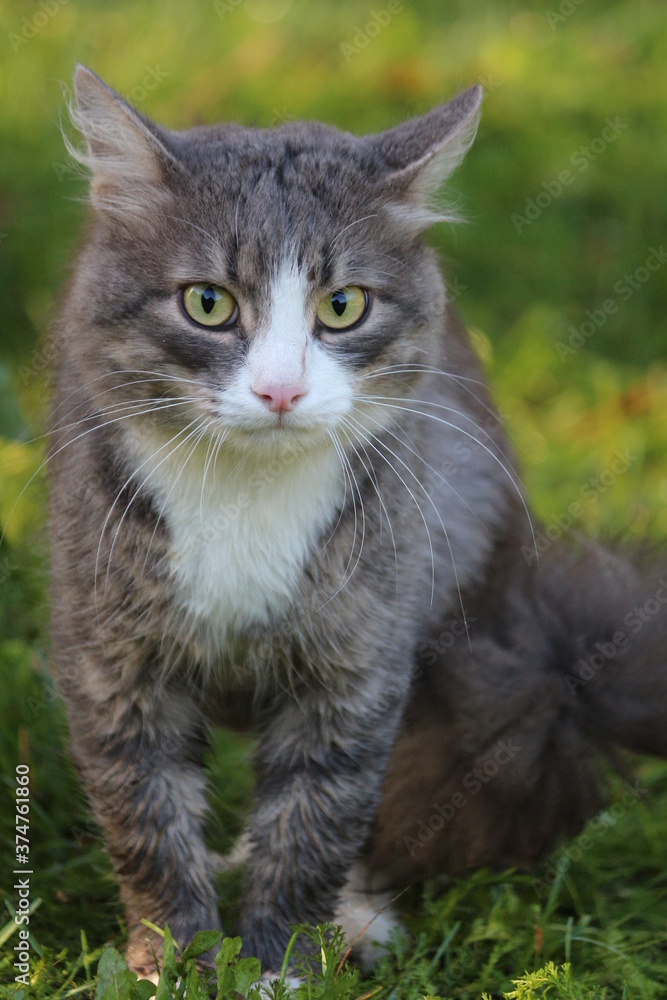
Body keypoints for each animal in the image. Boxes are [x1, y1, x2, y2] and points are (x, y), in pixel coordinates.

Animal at [48, 66, 667, 980]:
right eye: (208, 303)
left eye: (341, 306)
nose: (279, 390)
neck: (246, 500)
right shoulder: (111, 660)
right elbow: (147, 820)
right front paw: (175, 962)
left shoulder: (359, 659)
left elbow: (315, 820)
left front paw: (280, 965)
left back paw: (357, 917)